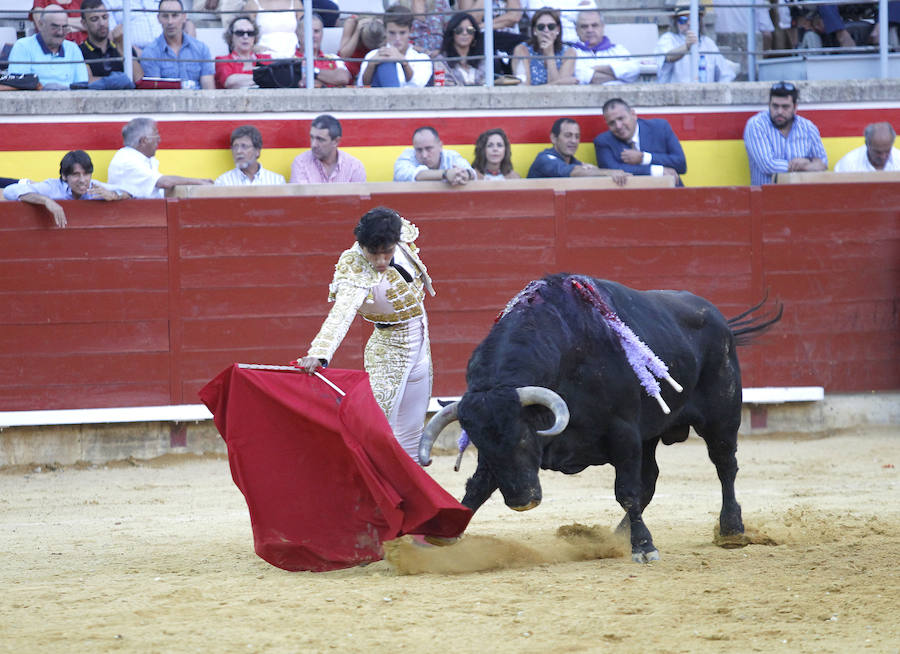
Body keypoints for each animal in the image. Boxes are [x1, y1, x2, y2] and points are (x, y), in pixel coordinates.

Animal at [422, 276, 780, 564]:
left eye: (524, 437)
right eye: (479, 445)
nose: (522, 502)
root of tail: (718, 318)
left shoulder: (623, 433)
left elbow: (627, 492)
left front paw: (644, 547)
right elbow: (477, 487)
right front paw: (444, 534)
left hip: (722, 415)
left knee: (724, 465)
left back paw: (732, 529)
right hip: (650, 435)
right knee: (651, 477)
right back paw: (615, 535)